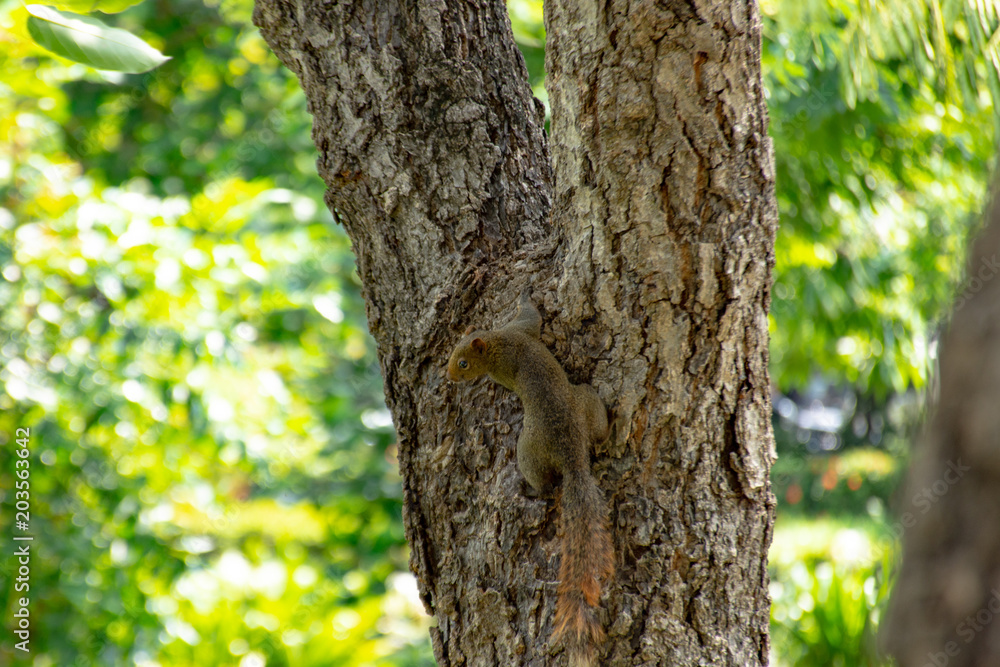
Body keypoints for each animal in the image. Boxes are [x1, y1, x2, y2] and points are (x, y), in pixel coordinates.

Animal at [447, 292, 614, 667]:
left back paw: (530, 487)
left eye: (462, 363)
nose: (449, 379)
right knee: (598, 429)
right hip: (587, 401)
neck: (497, 342)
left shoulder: (508, 356)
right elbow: (533, 317)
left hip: (529, 450)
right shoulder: (521, 330)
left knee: (545, 484)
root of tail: (572, 455)